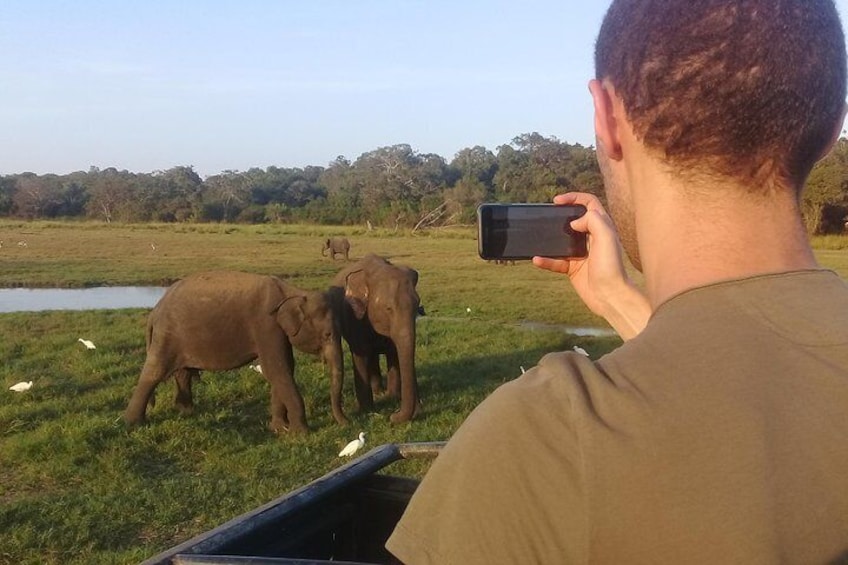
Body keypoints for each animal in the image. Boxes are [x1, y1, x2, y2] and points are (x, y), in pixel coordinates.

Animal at [121, 268, 344, 432]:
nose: (346, 422)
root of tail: (155, 311)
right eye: (327, 335)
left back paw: (187, 412)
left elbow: (285, 368)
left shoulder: (276, 332)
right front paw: (302, 434)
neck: (293, 292)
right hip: (167, 335)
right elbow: (276, 370)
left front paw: (280, 429)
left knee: (182, 373)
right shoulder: (266, 325)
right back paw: (134, 423)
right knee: (154, 372)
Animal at [332, 253, 424, 420]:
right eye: (388, 308)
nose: (393, 416)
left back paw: (381, 392)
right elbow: (360, 355)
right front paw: (367, 411)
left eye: (417, 306)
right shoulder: (355, 317)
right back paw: (378, 393)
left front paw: (393, 397)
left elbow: (395, 353)